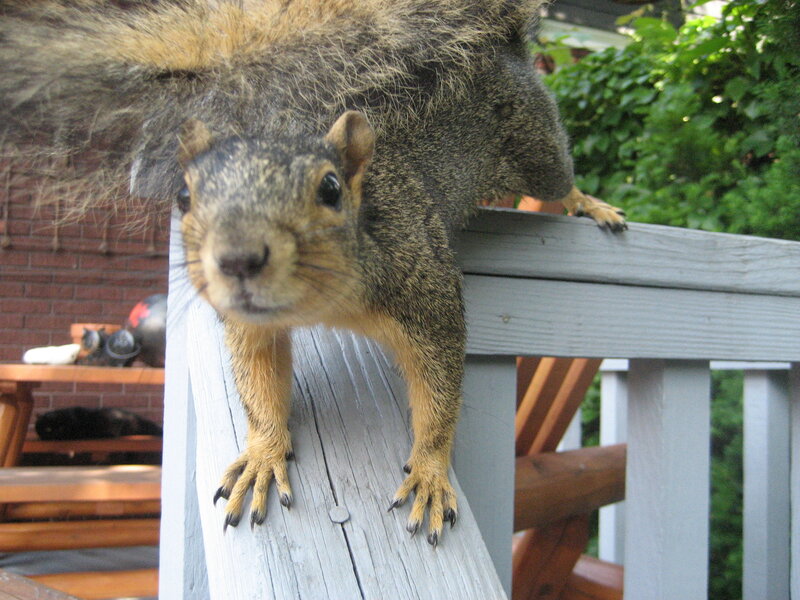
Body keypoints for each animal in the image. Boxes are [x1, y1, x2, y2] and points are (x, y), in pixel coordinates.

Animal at [1, 0, 626, 546]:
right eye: (183, 196)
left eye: (329, 189)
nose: (238, 259)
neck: (325, 301)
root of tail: (500, 45)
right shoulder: (251, 326)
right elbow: (258, 384)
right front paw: (262, 453)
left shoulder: (426, 293)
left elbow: (440, 389)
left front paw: (429, 468)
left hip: (532, 133)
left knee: (557, 175)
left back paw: (590, 203)